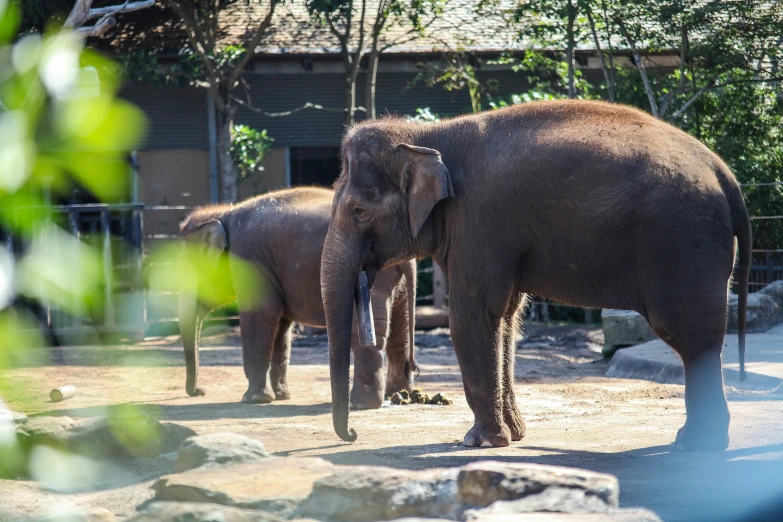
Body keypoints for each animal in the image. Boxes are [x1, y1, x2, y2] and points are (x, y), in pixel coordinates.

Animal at [178, 185, 420, 408]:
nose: (200, 391)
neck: (223, 214)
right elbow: (281, 326)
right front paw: (281, 396)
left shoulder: (249, 259)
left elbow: (261, 314)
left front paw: (254, 400)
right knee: (400, 327)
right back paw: (399, 395)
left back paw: (361, 404)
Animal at [320, 99, 752, 448]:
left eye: (358, 211)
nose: (353, 434)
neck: (428, 136)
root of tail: (724, 173)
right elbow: (506, 319)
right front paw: (515, 435)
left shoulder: (479, 220)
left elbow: (473, 317)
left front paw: (479, 442)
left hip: (681, 241)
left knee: (690, 336)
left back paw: (696, 445)